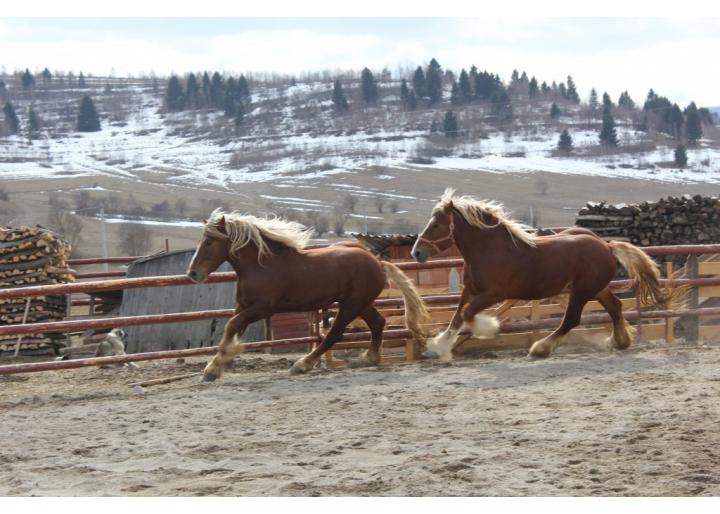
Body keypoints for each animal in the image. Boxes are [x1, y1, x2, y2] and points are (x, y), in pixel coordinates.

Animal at [188, 208, 430, 380]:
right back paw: (368, 359)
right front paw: (219, 365)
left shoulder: (263, 308)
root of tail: (378, 262)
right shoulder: (244, 306)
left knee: (334, 334)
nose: (193, 273)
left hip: (351, 304)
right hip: (361, 303)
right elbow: (233, 329)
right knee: (378, 323)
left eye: (209, 242)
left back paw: (302, 365)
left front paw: (211, 371)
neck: (261, 265)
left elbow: (231, 326)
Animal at [410, 188, 680, 360]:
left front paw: (488, 328)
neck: (490, 250)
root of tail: (606, 245)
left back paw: (540, 349)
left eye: (436, 224)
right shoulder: (470, 290)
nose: (416, 252)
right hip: (597, 289)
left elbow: (467, 314)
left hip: (581, 292)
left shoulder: (494, 294)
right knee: (615, 307)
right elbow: (456, 317)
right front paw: (438, 347)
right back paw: (619, 341)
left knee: (571, 320)